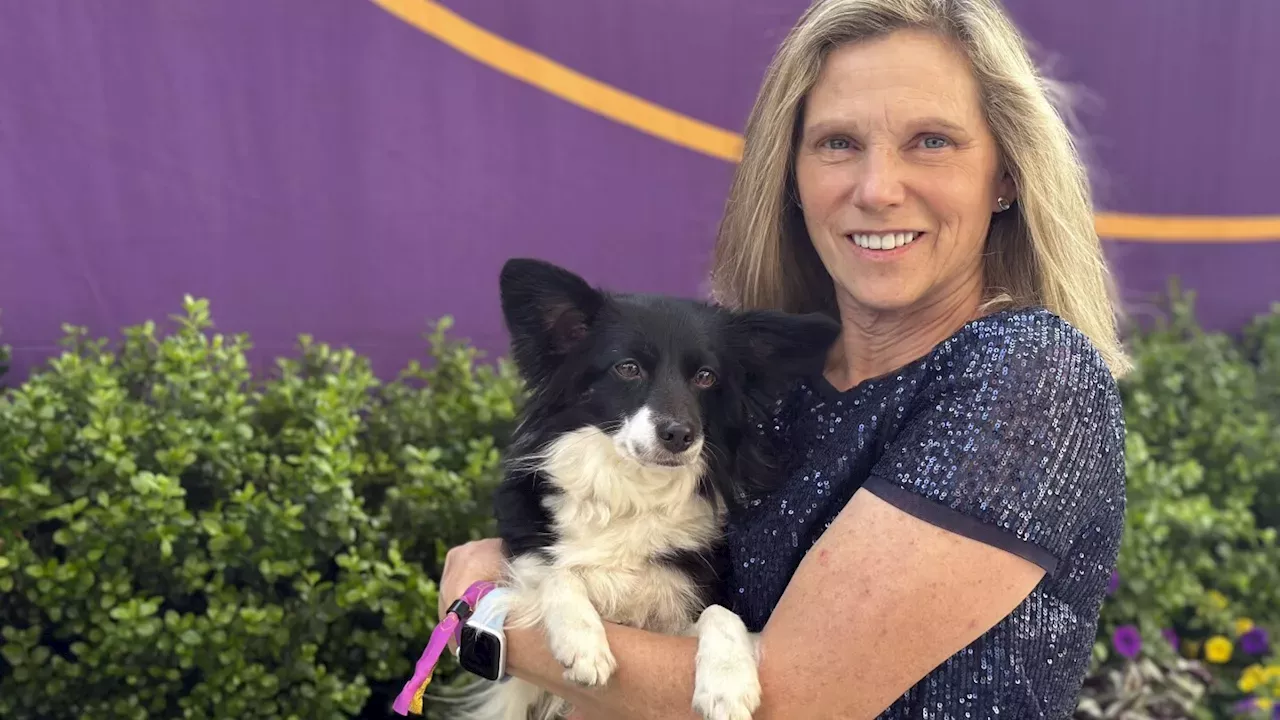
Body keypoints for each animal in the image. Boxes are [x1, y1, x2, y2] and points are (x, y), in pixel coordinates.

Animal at [460, 257, 839, 717]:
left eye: (706, 376)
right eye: (627, 368)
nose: (680, 435)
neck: (633, 490)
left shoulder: (678, 612)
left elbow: (721, 613)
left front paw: (728, 681)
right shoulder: (525, 565)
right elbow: (555, 573)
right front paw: (583, 641)